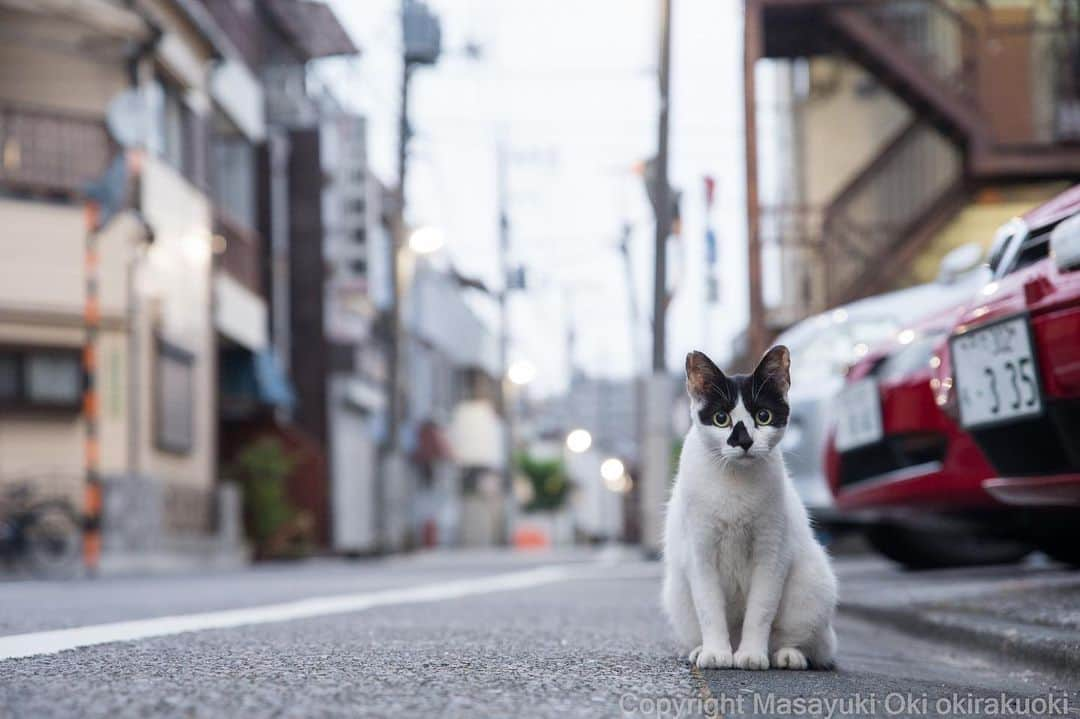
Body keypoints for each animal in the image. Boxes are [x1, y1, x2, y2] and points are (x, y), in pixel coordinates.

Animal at [660, 345, 838, 669]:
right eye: (721, 418)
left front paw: (752, 655)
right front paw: (715, 653)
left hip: (812, 588)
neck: (735, 481)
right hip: (677, 596)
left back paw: (787, 655)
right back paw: (702, 649)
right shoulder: (700, 553)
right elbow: (709, 609)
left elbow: (760, 610)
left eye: (763, 416)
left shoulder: (771, 553)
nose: (744, 441)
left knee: (808, 643)